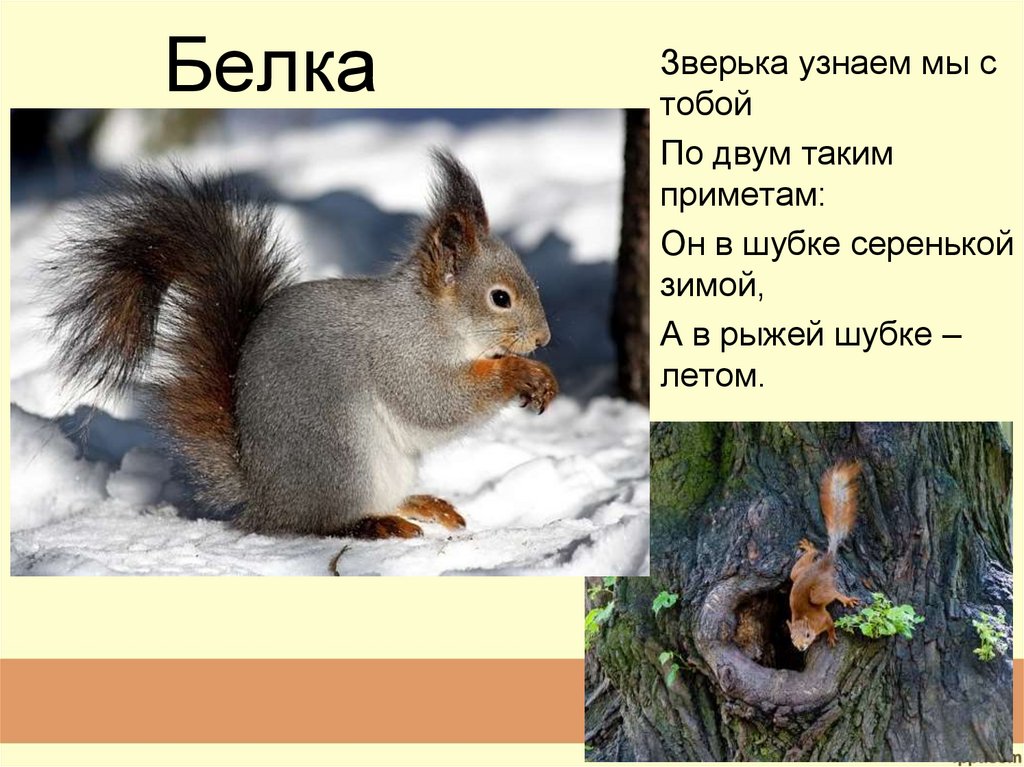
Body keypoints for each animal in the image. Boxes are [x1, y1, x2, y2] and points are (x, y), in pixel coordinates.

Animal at [49, 150, 558, 539]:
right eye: (500, 298)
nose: (543, 338)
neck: (435, 319)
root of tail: (265, 500)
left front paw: (544, 378)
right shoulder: (399, 354)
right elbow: (434, 402)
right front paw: (518, 372)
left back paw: (420, 505)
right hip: (340, 455)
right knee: (318, 523)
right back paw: (373, 525)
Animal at [787, 461, 862, 651]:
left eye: (807, 634)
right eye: (791, 638)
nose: (801, 648)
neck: (806, 620)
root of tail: (822, 564)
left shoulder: (824, 618)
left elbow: (831, 624)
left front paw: (832, 636)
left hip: (819, 591)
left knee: (833, 593)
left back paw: (845, 599)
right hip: (797, 574)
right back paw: (808, 549)